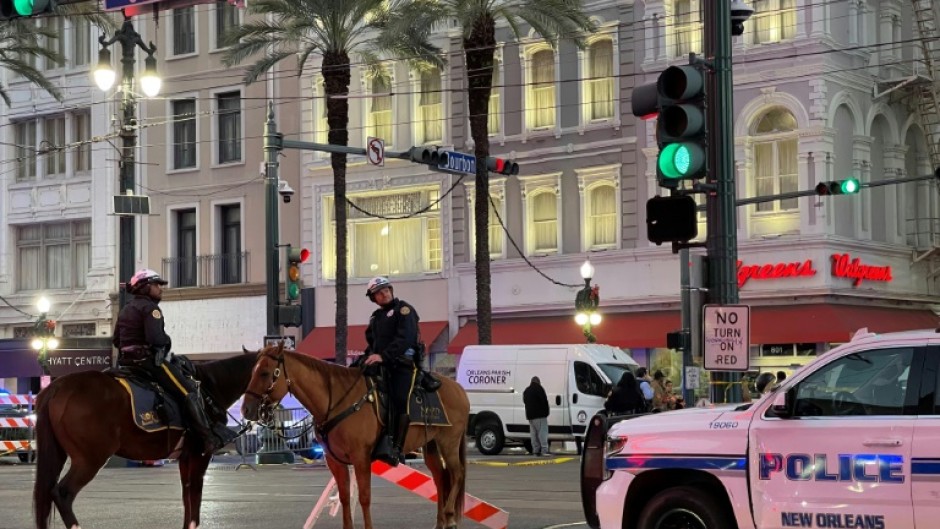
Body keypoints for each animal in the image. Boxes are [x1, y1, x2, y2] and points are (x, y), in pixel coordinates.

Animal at [32, 350, 258, 528]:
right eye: (263, 373)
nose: (250, 410)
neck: (208, 389)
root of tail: (58, 386)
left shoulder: (185, 458)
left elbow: (187, 498)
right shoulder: (200, 455)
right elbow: (195, 496)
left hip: (59, 454)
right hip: (89, 459)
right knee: (62, 493)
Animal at [244, 342, 470, 528]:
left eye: (265, 373)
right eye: (252, 371)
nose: (246, 409)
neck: (337, 400)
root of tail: (459, 389)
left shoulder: (361, 458)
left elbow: (364, 497)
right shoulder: (335, 461)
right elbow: (344, 497)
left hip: (449, 442)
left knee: (457, 473)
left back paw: (450, 517)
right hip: (431, 444)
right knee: (441, 477)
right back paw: (440, 522)